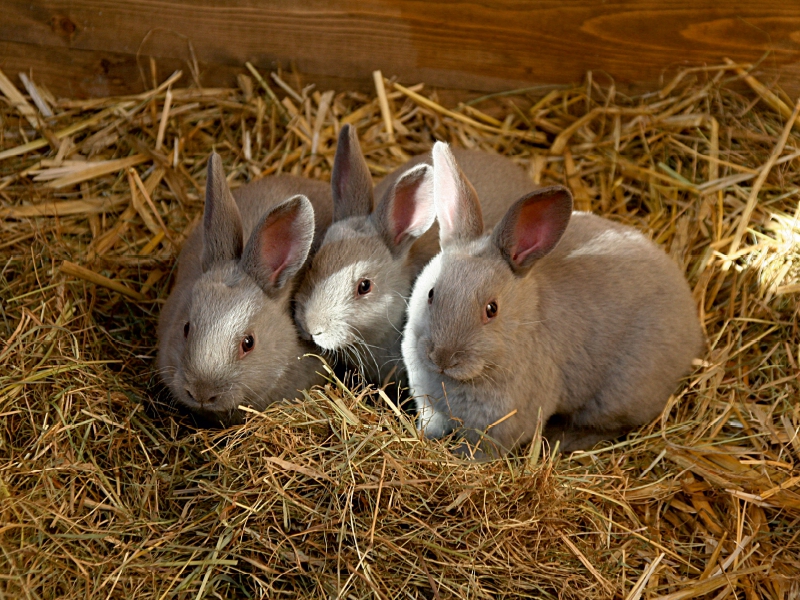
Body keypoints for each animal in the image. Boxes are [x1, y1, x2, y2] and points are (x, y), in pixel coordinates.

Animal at [404, 143, 704, 458]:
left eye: (491, 309)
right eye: (431, 293)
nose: (442, 357)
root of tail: (692, 328)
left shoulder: (498, 428)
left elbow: (480, 450)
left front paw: (460, 459)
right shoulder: (430, 407)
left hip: (618, 397)